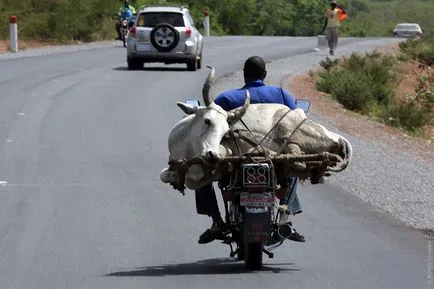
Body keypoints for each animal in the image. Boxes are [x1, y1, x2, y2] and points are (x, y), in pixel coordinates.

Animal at [160, 66, 352, 190]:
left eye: (226, 132)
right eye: (207, 120)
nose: (212, 156)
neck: (184, 144)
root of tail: (339, 138)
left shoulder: (225, 154)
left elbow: (193, 178)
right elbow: (165, 175)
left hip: (288, 127)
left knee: (297, 158)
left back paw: (261, 152)